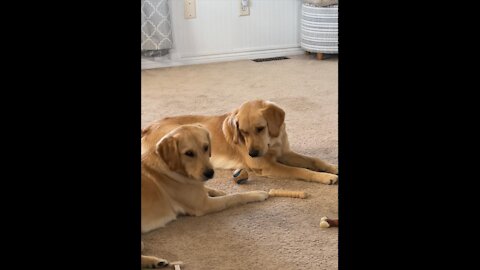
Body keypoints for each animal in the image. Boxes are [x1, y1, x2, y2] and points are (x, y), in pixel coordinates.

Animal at [142, 99, 338, 186]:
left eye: (260, 128)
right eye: (242, 132)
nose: (252, 154)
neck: (272, 143)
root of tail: (148, 127)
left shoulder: (285, 153)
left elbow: (314, 160)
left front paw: (332, 168)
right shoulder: (267, 166)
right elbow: (300, 170)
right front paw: (324, 177)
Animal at [142, 124, 270, 268]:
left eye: (206, 147)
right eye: (189, 153)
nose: (210, 173)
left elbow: (209, 189)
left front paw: (218, 191)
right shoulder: (204, 205)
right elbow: (235, 197)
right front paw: (257, 193)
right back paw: (154, 261)